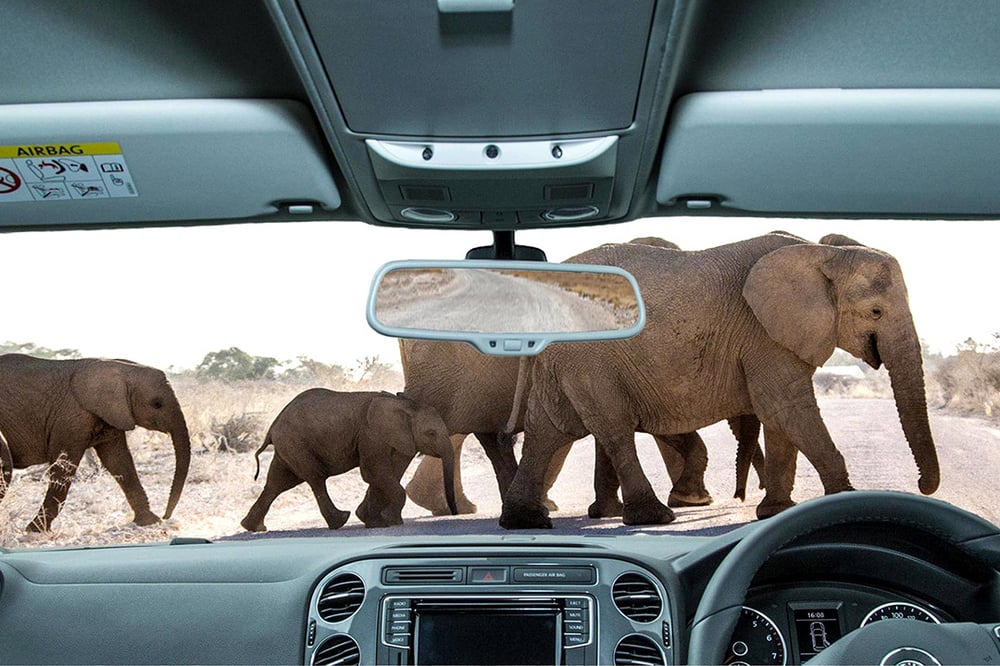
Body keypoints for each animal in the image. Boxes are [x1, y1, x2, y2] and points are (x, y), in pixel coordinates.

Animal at [0, 354, 191, 532]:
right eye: (157, 404)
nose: (166, 516)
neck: (122, 368)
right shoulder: (71, 417)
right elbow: (64, 465)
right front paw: (35, 530)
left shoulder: (110, 415)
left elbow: (119, 462)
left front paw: (149, 521)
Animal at [240, 389, 457, 531]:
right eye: (431, 433)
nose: (454, 513)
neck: (403, 404)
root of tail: (272, 426)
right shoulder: (370, 433)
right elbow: (373, 471)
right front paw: (389, 522)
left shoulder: (392, 438)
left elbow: (381, 474)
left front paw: (373, 522)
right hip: (295, 443)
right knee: (315, 478)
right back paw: (340, 521)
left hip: (288, 447)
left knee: (277, 483)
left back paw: (253, 527)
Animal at [500, 232, 939, 528]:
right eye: (876, 311)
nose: (922, 486)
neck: (821, 252)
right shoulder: (763, 333)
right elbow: (787, 408)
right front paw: (844, 502)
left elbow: (780, 417)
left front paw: (775, 512)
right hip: (590, 360)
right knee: (613, 429)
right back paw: (654, 517)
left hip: (568, 360)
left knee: (548, 430)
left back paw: (525, 521)